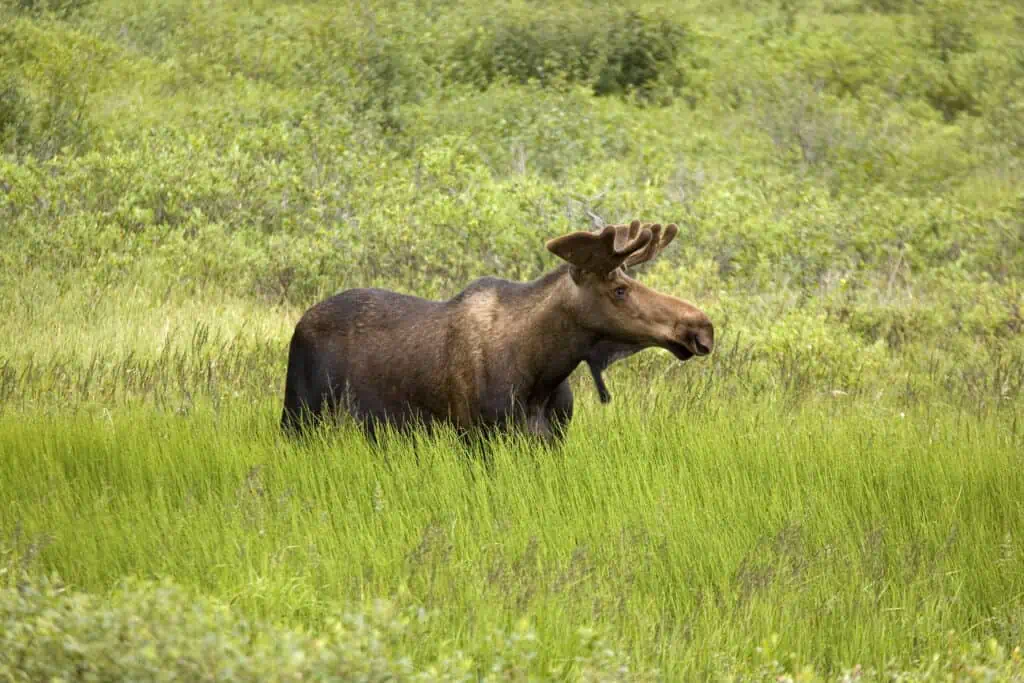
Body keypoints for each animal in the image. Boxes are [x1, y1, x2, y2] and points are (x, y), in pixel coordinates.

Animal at [278, 220, 712, 444]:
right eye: (619, 289)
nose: (701, 327)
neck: (543, 372)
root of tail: (300, 323)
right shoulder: (475, 436)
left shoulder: (551, 440)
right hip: (298, 416)